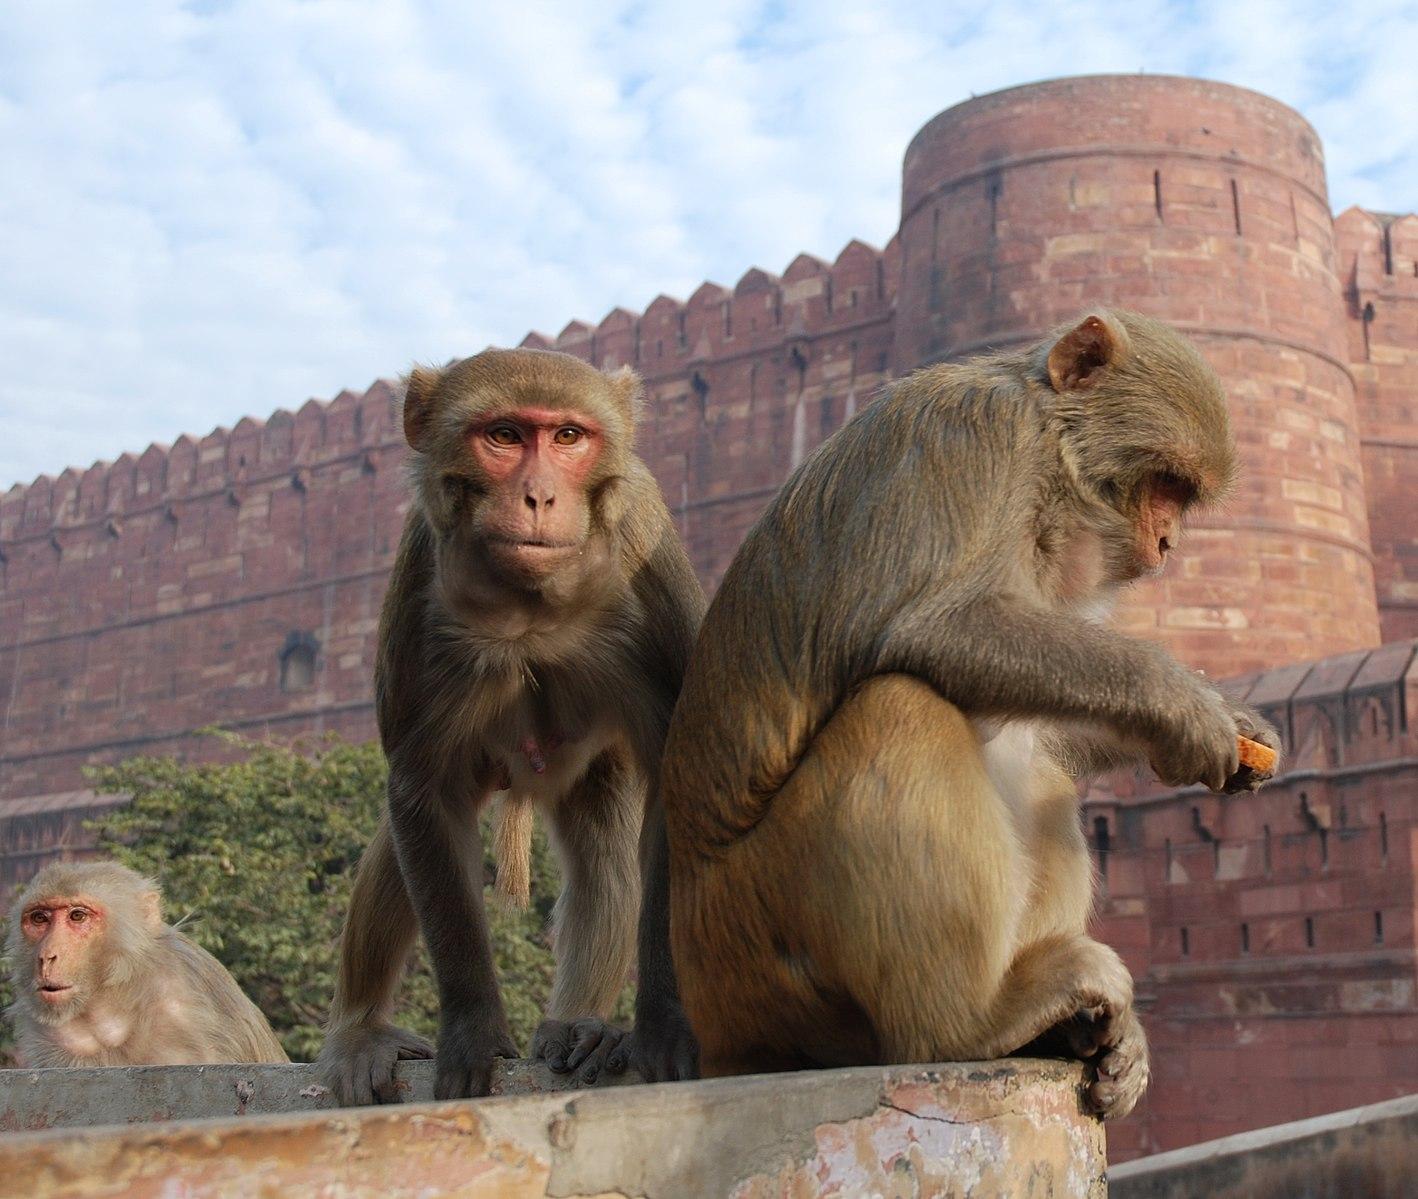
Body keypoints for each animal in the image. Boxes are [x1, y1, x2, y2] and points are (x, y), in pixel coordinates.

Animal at [316, 347, 703, 1105]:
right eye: (503, 436)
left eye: (568, 437)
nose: (539, 496)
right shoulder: (418, 574)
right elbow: (422, 787)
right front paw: (471, 1027)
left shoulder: (647, 551)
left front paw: (665, 1024)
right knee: (404, 833)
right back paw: (360, 1028)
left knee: (606, 855)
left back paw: (581, 1025)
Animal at [663, 311, 1287, 1128]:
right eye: (1165, 485)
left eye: (1183, 498)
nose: (1166, 543)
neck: (1045, 455)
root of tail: (711, 1029)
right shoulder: (974, 438)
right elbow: (933, 629)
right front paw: (1181, 701)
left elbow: (1041, 726)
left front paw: (1232, 725)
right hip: (760, 953)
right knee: (903, 705)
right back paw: (967, 1020)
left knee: (1040, 771)